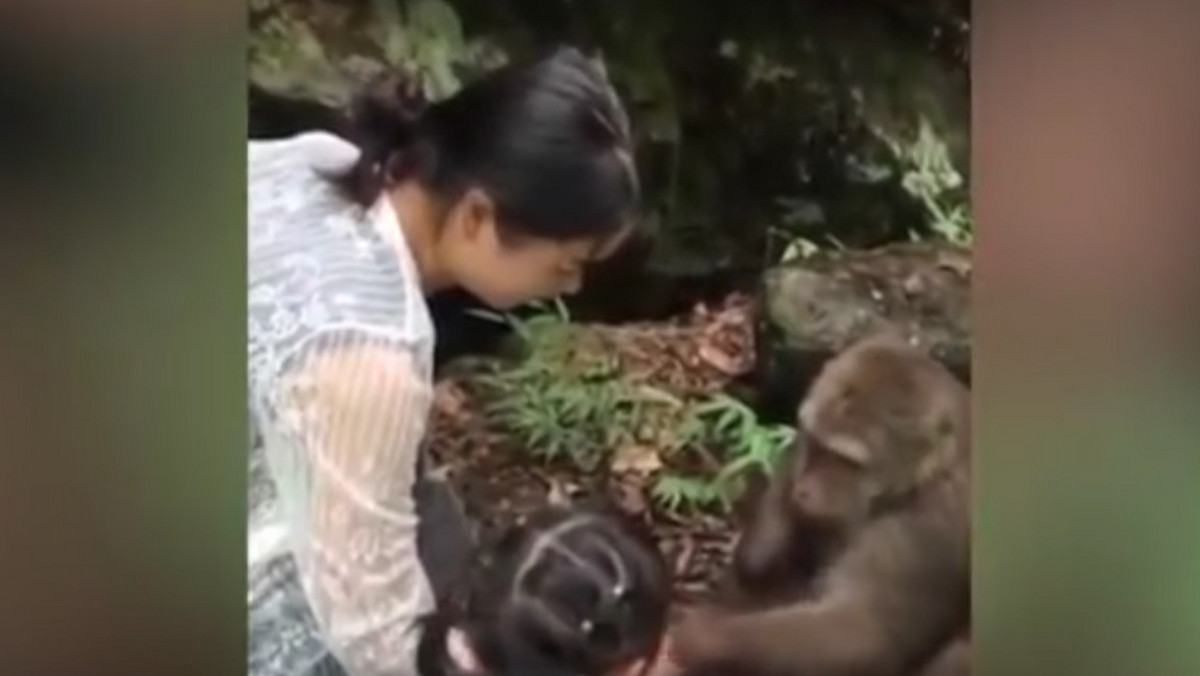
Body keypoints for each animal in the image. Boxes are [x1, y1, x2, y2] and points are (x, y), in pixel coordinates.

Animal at [672, 333, 969, 676]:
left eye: (846, 461)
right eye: (817, 445)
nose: (806, 490)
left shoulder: (920, 533)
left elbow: (865, 634)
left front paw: (700, 640)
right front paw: (763, 547)